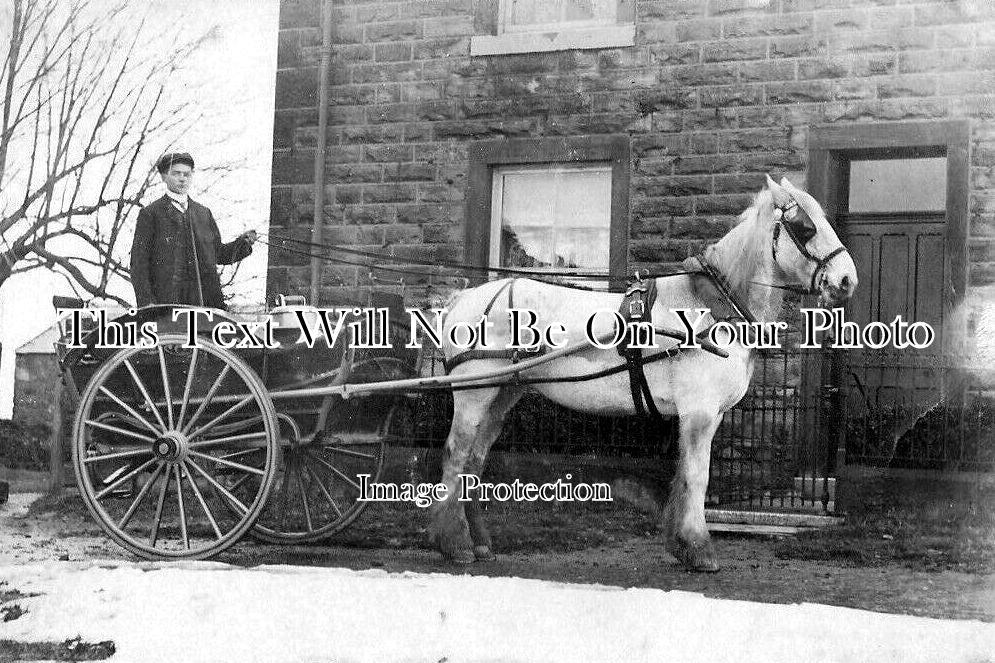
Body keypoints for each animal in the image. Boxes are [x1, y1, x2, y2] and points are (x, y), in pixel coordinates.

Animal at [432, 176, 860, 572]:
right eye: (805, 228)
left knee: (474, 461)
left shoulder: (707, 415)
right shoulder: (699, 412)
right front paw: (698, 549)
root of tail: (463, 297)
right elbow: (697, 476)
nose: (847, 280)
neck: (711, 308)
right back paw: (456, 544)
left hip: (503, 392)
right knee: (456, 455)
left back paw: (479, 542)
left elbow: (684, 474)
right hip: (474, 392)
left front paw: (681, 546)